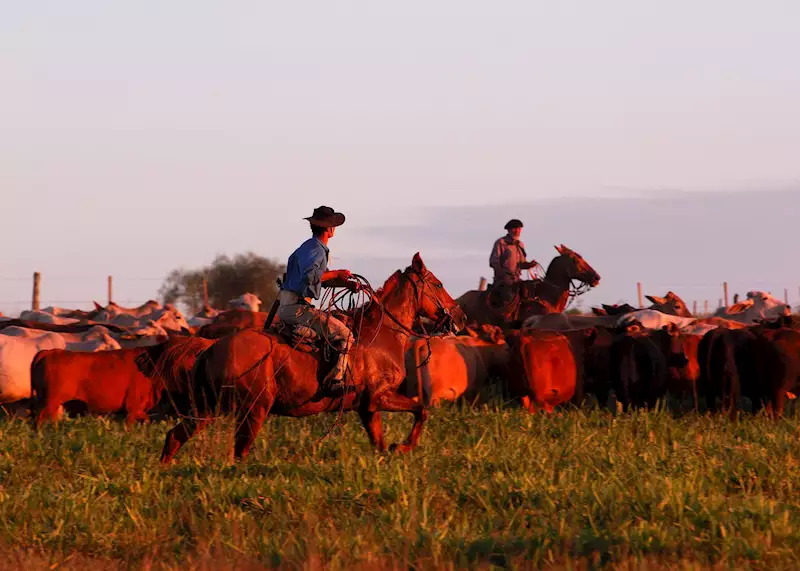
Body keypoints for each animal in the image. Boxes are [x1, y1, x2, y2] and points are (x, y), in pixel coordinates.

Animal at [159, 255, 466, 464]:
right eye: (438, 284)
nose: (460, 317)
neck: (381, 335)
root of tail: (212, 348)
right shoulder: (379, 397)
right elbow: (421, 409)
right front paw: (402, 447)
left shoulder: (367, 407)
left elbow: (380, 440)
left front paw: (392, 451)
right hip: (253, 410)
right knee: (239, 451)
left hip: (208, 407)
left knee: (175, 436)